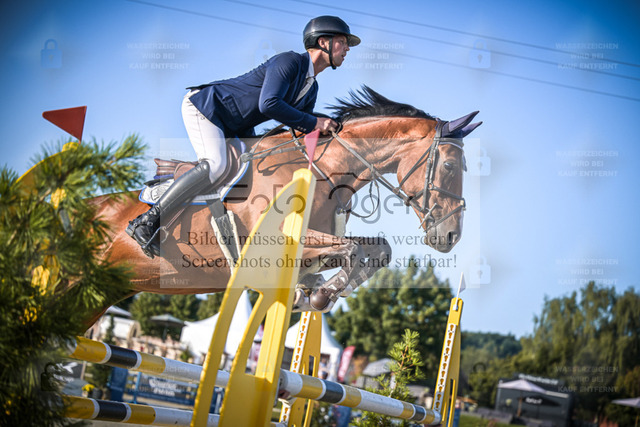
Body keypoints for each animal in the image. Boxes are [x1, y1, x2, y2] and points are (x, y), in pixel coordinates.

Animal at [90, 86, 481, 322]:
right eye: (449, 166)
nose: (450, 236)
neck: (323, 171)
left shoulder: (317, 243)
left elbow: (377, 248)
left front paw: (318, 292)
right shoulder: (274, 242)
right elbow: (353, 249)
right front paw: (318, 297)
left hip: (102, 292)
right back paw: (143, 229)